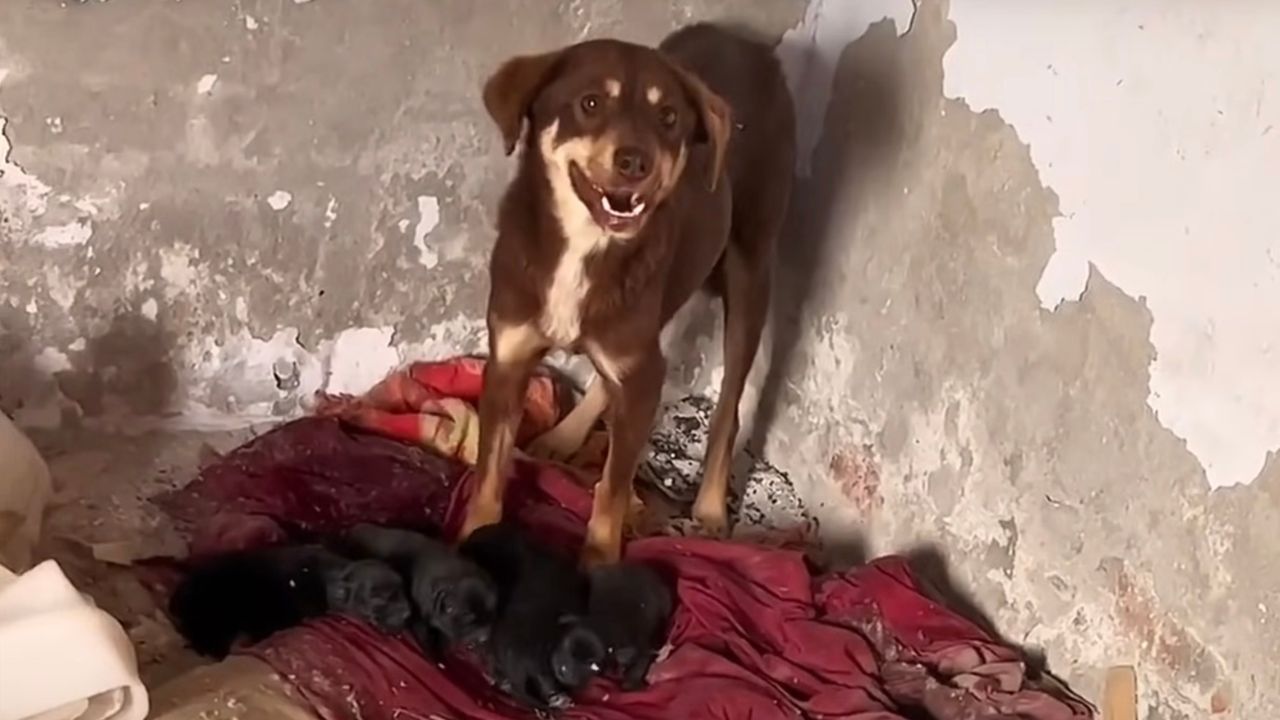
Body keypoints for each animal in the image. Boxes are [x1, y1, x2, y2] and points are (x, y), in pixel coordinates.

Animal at [465, 22, 793, 563]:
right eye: (591, 103)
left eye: (669, 118)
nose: (636, 162)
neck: (585, 245)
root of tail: (747, 42)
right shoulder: (508, 361)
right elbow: (489, 475)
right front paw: (471, 537)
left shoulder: (641, 380)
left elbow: (613, 487)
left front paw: (598, 559)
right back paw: (565, 435)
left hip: (752, 268)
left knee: (728, 404)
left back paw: (709, 504)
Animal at [550, 561, 675, 691]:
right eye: (566, 644)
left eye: (593, 666)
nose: (564, 672)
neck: (606, 622)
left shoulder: (642, 648)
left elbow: (640, 663)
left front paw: (630, 682)